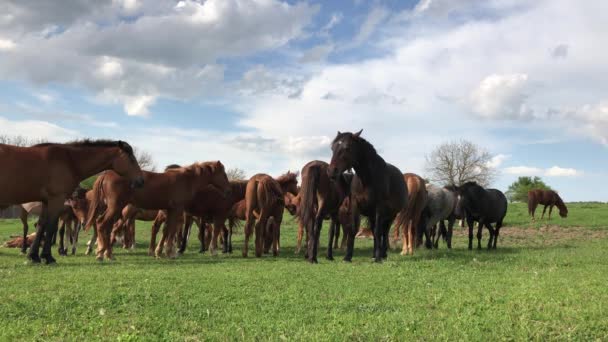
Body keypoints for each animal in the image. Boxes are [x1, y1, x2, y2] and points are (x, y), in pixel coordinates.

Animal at [0, 139, 144, 264]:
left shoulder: (47, 202)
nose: (141, 180)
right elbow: (51, 227)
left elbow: (41, 226)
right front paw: (48, 257)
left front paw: (34, 256)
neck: (69, 160)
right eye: (131, 159)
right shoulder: (56, 200)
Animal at [85, 160, 228, 260]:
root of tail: (106, 174)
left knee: (105, 226)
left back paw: (104, 253)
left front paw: (159, 252)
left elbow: (166, 230)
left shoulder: (170, 211)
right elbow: (171, 231)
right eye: (223, 173)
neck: (185, 180)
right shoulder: (176, 209)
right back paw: (105, 254)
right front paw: (170, 253)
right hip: (116, 207)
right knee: (103, 225)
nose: (227, 189)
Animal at [328, 130, 408, 262]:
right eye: (332, 148)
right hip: (372, 215)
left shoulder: (379, 207)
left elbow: (378, 231)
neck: (366, 179)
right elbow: (354, 229)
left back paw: (382, 254)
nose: (331, 172)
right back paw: (375, 254)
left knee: (384, 232)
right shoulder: (355, 205)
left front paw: (378, 257)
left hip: (391, 215)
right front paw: (348, 256)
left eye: (347, 147)